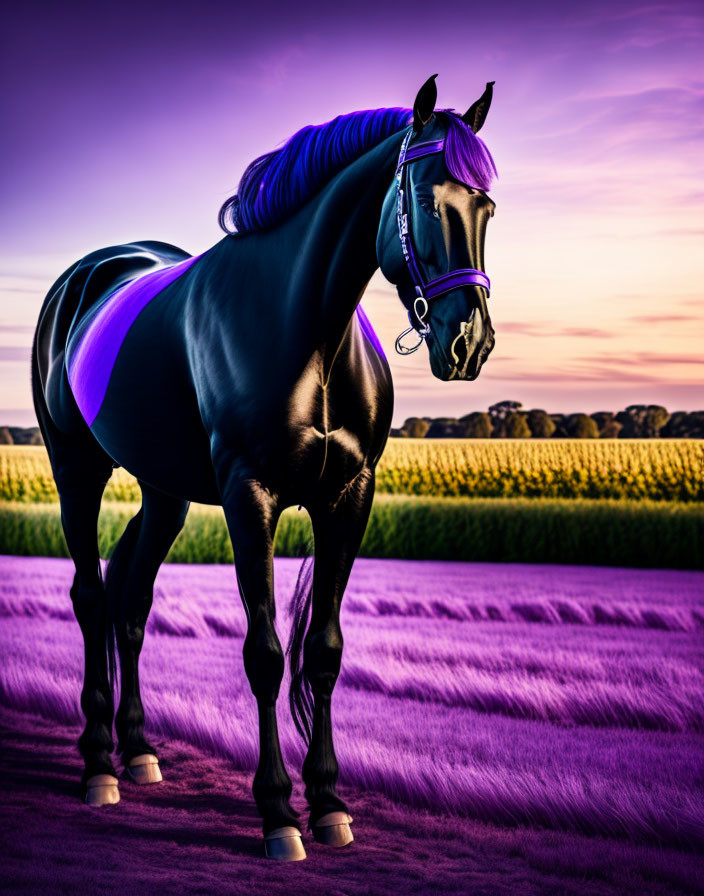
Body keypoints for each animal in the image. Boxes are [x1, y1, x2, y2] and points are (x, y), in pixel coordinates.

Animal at [31, 79, 496, 860]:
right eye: (427, 199)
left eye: (487, 207)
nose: (467, 342)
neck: (306, 329)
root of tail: (89, 272)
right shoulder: (250, 498)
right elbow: (268, 654)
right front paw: (279, 814)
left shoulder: (349, 497)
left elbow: (324, 651)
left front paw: (331, 806)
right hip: (77, 471)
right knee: (93, 599)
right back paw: (99, 765)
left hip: (165, 494)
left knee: (131, 602)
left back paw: (139, 752)